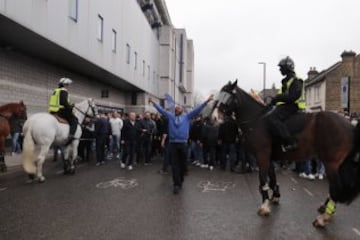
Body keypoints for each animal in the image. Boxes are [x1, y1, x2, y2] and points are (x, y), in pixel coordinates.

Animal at [211, 80, 360, 227]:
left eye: (228, 96)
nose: (214, 117)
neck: (257, 120)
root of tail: (350, 126)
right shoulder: (269, 157)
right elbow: (272, 179)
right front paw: (275, 197)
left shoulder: (262, 155)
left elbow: (263, 180)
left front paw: (264, 207)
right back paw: (325, 208)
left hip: (331, 163)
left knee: (335, 188)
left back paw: (323, 218)